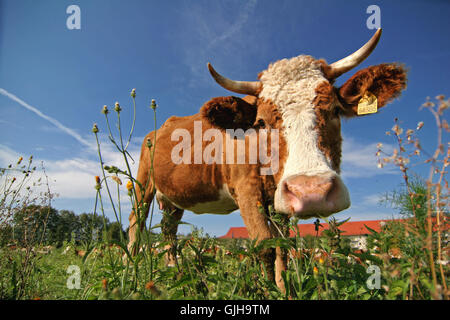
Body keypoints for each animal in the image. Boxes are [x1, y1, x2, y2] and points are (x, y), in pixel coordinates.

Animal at [126, 28, 408, 292]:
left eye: (335, 110)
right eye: (261, 122)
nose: (312, 192)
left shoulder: (278, 198)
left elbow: (283, 244)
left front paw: (284, 288)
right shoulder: (246, 191)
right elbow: (265, 246)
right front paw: (269, 290)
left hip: (173, 198)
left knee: (168, 232)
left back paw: (175, 275)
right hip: (142, 184)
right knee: (135, 224)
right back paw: (131, 274)